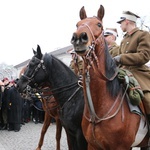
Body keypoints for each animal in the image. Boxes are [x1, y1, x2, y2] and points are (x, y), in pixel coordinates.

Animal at [71, 4, 149, 150]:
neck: (97, 113)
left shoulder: (122, 147)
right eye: (77, 24)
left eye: (99, 24)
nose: (79, 37)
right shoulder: (92, 145)